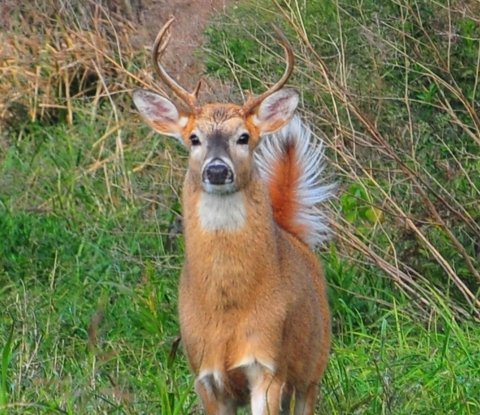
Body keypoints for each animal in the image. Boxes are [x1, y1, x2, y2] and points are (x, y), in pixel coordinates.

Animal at [131, 17, 334, 415]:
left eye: (244, 137)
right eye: (193, 138)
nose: (217, 169)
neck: (228, 311)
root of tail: (291, 233)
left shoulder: (268, 365)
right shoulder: (204, 374)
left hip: (312, 367)